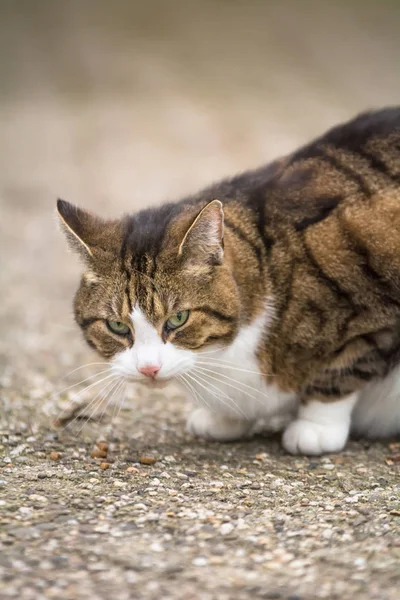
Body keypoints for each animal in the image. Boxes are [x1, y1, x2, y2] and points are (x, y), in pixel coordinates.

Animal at [57, 108, 400, 454]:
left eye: (178, 319)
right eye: (116, 326)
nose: (148, 369)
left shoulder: (374, 316)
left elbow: (342, 368)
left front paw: (316, 427)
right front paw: (224, 419)